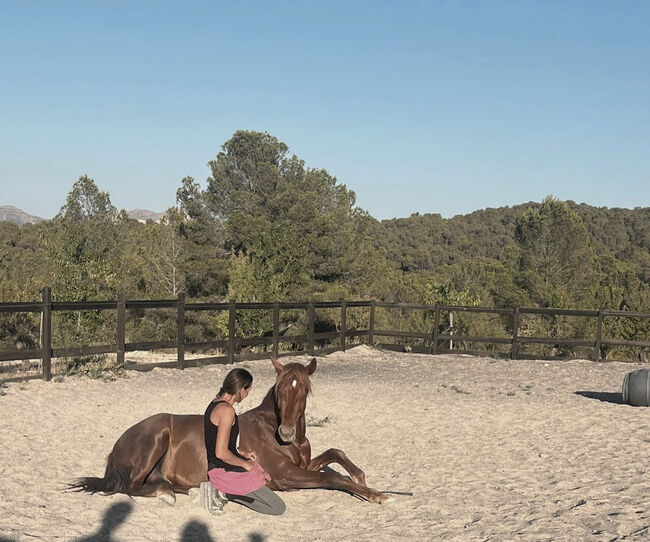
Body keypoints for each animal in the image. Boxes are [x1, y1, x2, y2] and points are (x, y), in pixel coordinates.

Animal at [69, 356, 390, 506]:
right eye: (281, 391)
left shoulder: (304, 463)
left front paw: (360, 476)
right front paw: (375, 494)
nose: (286, 433)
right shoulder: (286, 476)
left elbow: (335, 454)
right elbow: (333, 479)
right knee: (133, 486)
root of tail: (119, 442)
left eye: (304, 391)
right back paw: (166, 494)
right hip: (157, 437)